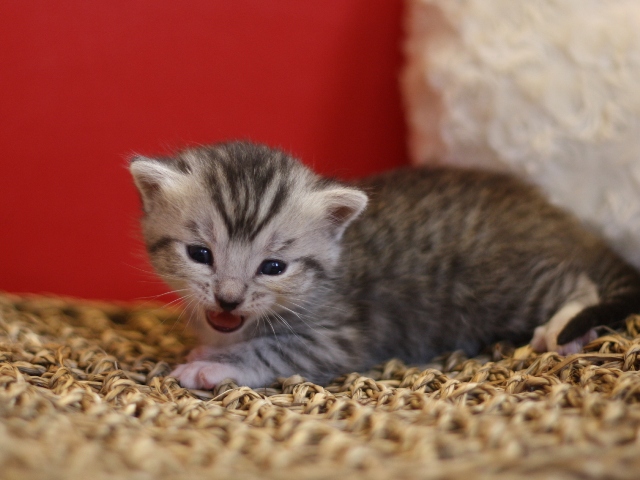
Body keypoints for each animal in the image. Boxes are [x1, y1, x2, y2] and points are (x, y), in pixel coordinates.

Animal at [129, 141, 640, 388]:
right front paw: (209, 349)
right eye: (201, 255)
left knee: (577, 284)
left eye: (273, 267)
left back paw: (564, 326)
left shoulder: (339, 337)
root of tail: (555, 214)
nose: (229, 298)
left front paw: (212, 367)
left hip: (505, 286)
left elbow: (272, 351)